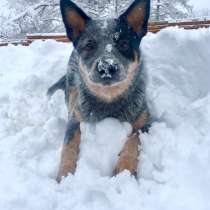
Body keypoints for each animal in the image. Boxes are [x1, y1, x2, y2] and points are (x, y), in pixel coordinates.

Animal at [48, 0, 151, 182]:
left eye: (124, 43)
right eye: (89, 45)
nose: (107, 67)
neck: (109, 101)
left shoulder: (146, 120)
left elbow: (134, 138)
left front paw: (125, 168)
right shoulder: (75, 120)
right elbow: (68, 147)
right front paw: (65, 175)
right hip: (72, 86)